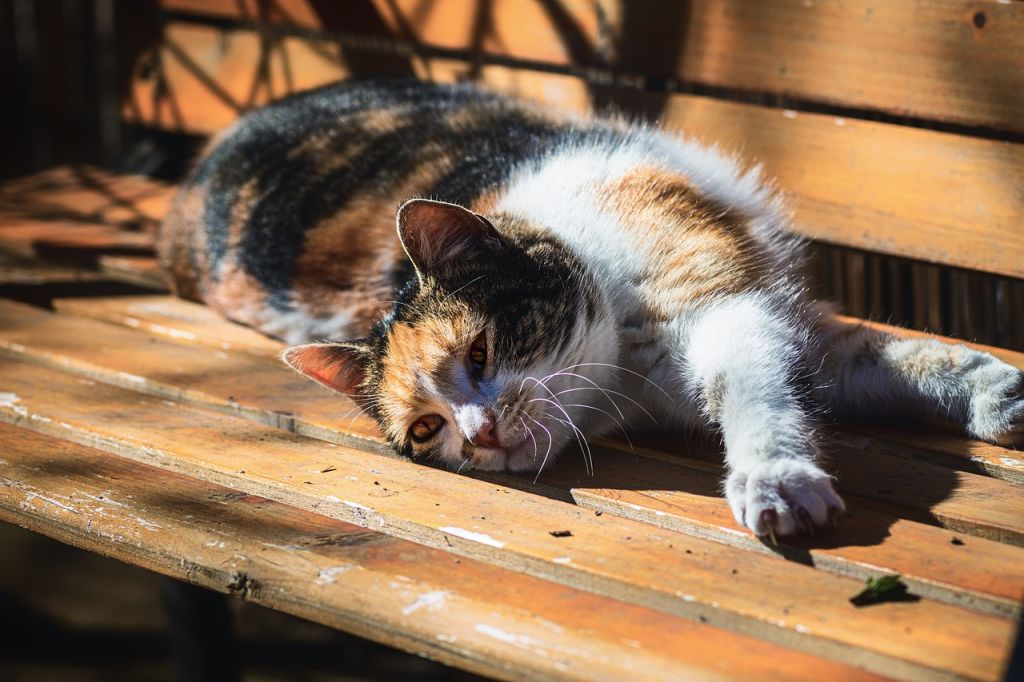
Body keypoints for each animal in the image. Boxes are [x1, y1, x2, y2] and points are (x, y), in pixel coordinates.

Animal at [159, 78, 1024, 536]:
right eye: (428, 430)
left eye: (481, 353)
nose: (480, 434)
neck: (631, 370)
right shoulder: (760, 320)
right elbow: (819, 375)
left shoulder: (738, 302)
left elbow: (852, 362)